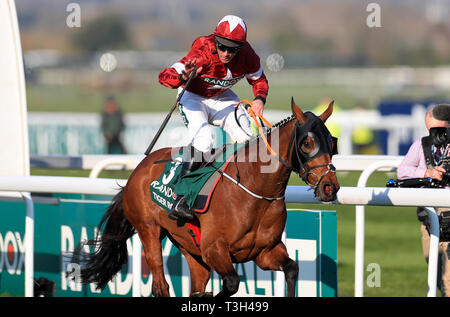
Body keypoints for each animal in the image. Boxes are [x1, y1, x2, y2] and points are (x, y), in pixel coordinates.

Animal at [74, 98, 340, 296]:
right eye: (307, 143)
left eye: (332, 142)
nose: (330, 187)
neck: (256, 190)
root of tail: (138, 169)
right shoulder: (214, 249)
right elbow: (231, 283)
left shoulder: (265, 251)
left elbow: (292, 268)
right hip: (148, 229)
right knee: (161, 286)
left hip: (187, 245)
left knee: (196, 282)